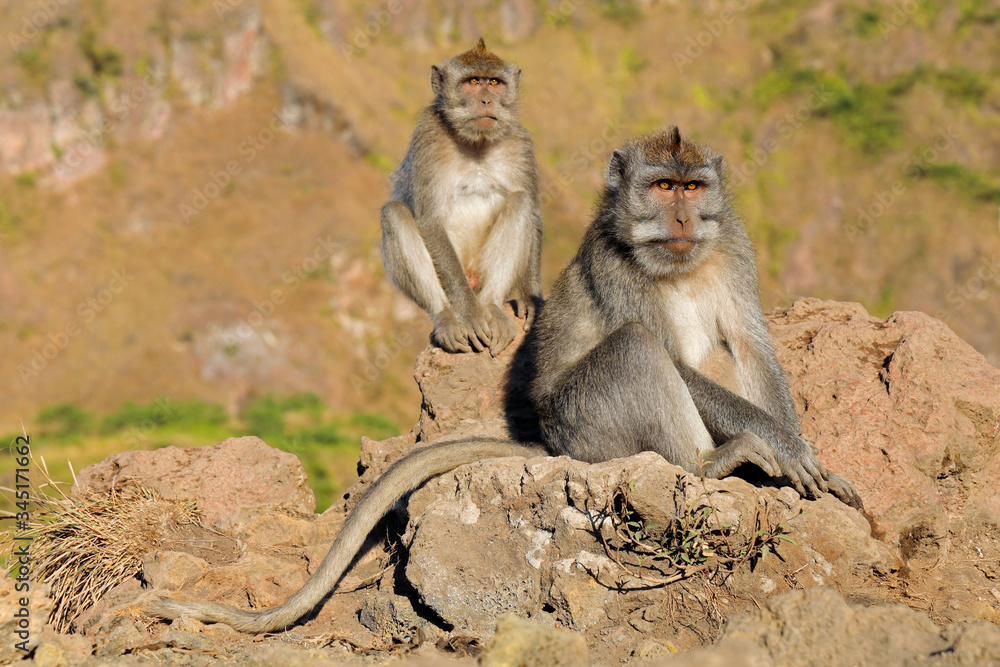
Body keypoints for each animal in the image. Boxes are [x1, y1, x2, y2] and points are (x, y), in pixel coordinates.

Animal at [143, 129, 860, 634]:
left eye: (692, 187)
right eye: (661, 187)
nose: (682, 219)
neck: (678, 259)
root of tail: (549, 443)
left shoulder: (733, 245)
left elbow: (752, 345)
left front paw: (803, 452)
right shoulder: (617, 266)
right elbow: (667, 355)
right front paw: (787, 451)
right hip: (588, 426)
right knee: (635, 347)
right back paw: (710, 462)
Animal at [380, 38, 543, 356]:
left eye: (494, 82)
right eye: (473, 82)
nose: (486, 101)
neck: (476, 143)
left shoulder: (520, 143)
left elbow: (533, 210)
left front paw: (530, 294)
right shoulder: (429, 137)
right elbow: (430, 223)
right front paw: (470, 315)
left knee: (520, 201)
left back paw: (492, 306)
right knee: (394, 213)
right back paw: (447, 317)